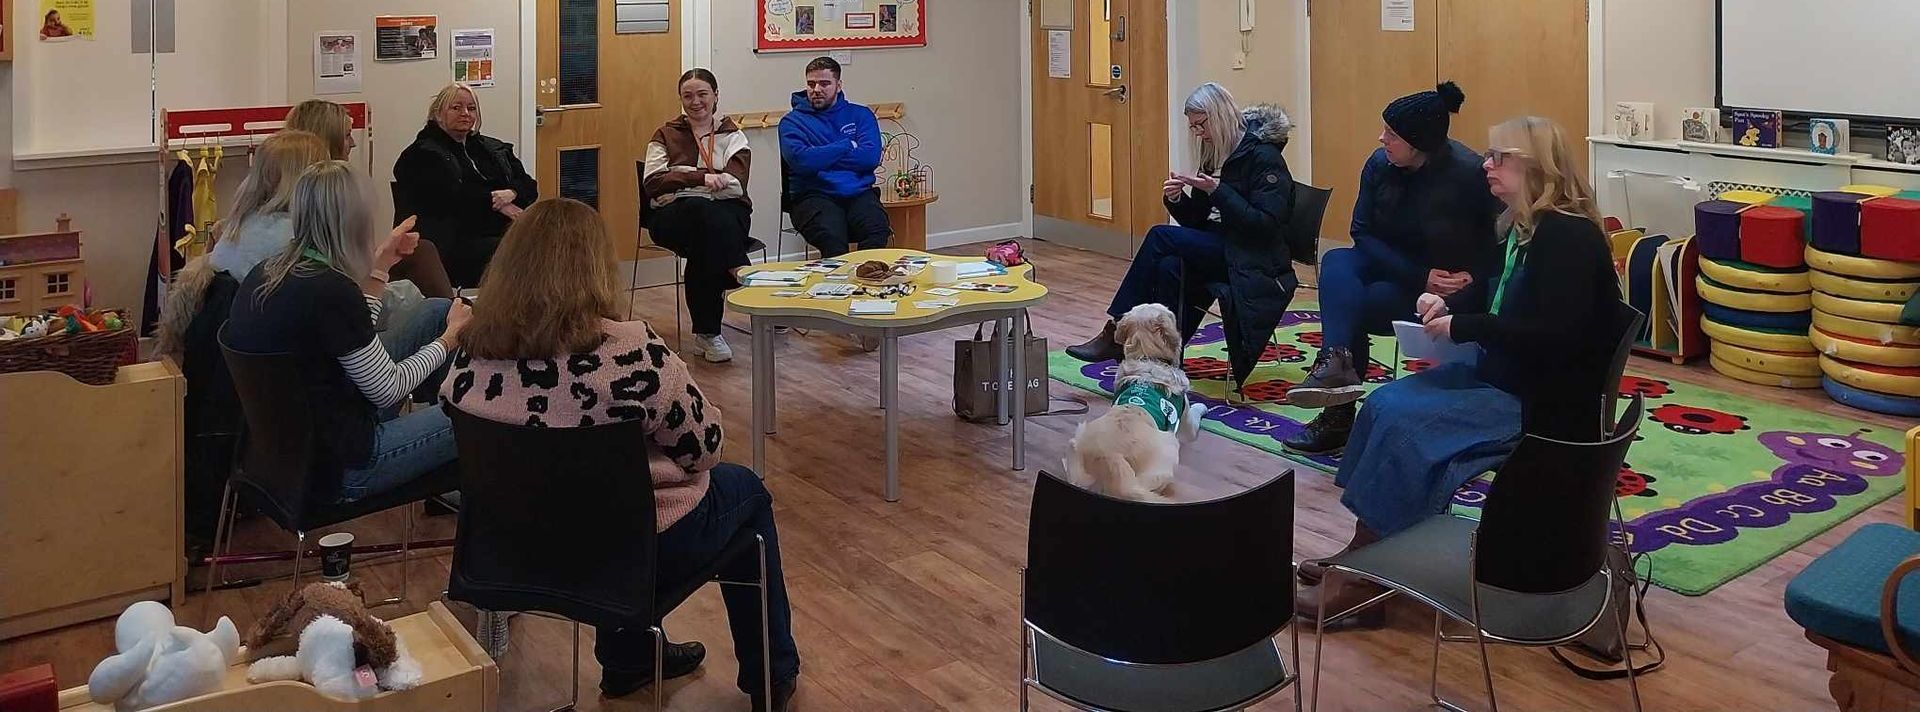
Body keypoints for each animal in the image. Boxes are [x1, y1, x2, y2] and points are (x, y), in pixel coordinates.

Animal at [1059, 303, 1205, 506]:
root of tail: (1111, 458)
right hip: (1169, 446)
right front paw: (1203, 406)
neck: (1148, 357)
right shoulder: (1187, 421)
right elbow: (1196, 414)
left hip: (1078, 440)